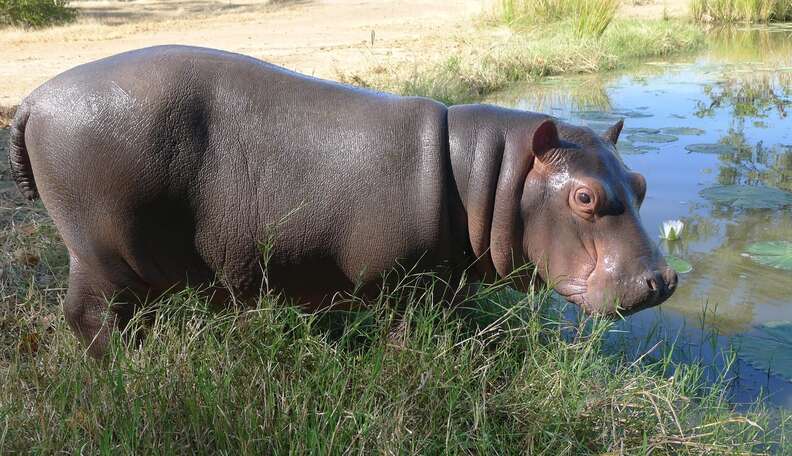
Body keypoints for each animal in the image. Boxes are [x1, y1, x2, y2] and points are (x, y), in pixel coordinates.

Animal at [7, 46, 676, 358]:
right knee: (91, 316)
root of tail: (33, 99)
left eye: (642, 183)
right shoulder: (403, 285)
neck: (492, 173)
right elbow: (406, 340)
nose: (665, 280)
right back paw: (126, 367)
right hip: (100, 251)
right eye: (585, 196)